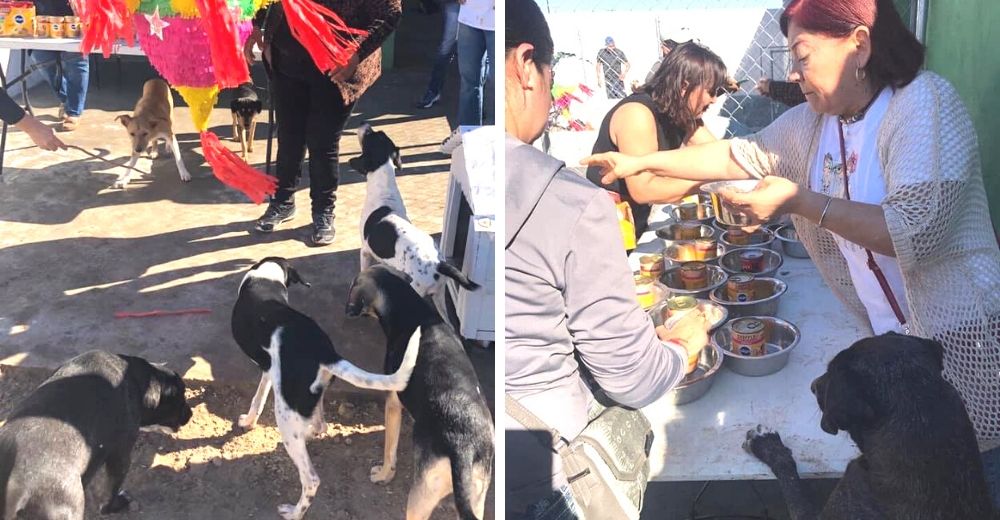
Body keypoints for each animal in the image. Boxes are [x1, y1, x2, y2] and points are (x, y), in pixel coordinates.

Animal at [0, 350, 191, 520]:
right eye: (182, 397)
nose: (190, 413)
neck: (137, 380)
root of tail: (15, 487)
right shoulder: (120, 455)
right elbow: (110, 491)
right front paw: (113, 506)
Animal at [231, 256, 422, 520]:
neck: (266, 277)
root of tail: (325, 351)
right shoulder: (269, 370)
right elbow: (258, 399)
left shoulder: (267, 371)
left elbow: (256, 399)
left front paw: (247, 422)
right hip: (311, 395)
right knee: (321, 425)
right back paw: (311, 434)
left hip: (285, 413)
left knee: (311, 479)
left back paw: (294, 512)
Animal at [348, 122, 480, 298]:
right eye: (380, 133)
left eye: (370, 135)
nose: (365, 123)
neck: (384, 190)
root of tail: (438, 264)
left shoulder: (365, 251)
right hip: (439, 295)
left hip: (416, 289)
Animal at [348, 266, 496, 516]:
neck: (413, 310)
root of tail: (463, 448)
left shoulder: (393, 404)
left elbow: (389, 450)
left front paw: (384, 475)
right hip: (476, 499)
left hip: (420, 500)